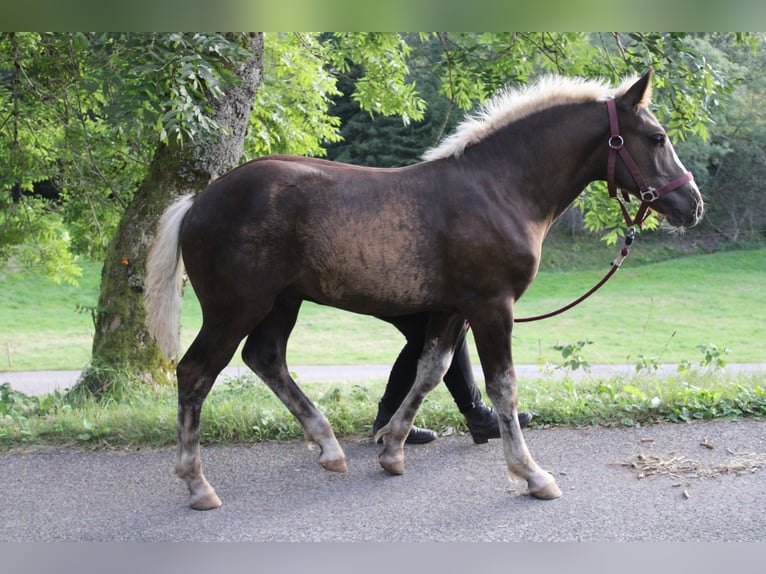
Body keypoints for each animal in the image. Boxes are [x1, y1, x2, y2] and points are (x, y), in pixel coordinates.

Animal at [142, 70, 704, 510]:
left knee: (266, 359)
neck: (499, 188)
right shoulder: (492, 307)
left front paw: (392, 450)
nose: (693, 205)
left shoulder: (453, 308)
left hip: (282, 302)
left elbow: (431, 369)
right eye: (657, 137)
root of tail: (198, 201)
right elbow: (502, 385)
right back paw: (197, 484)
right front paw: (532, 475)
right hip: (235, 307)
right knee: (196, 372)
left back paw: (329, 448)